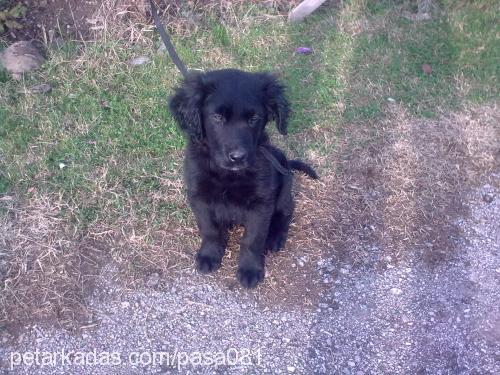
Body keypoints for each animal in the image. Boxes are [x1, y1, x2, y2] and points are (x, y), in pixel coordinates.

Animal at [168, 70, 316, 288]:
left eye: (254, 118)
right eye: (218, 117)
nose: (238, 157)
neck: (228, 175)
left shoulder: (261, 203)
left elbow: (252, 239)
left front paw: (250, 269)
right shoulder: (199, 196)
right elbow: (209, 229)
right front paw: (209, 255)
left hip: (283, 187)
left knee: (286, 211)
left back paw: (275, 237)